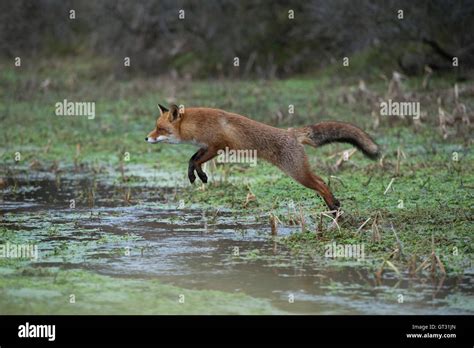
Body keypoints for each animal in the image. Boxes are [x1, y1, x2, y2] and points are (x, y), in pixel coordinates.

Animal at [146, 104, 380, 212]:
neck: (196, 125)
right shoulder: (205, 147)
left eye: (160, 129)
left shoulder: (216, 146)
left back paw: (333, 206)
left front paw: (198, 176)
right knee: (323, 181)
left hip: (297, 173)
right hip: (301, 172)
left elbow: (195, 160)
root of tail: (291, 132)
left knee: (321, 183)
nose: (146, 138)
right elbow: (192, 160)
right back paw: (333, 204)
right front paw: (199, 176)